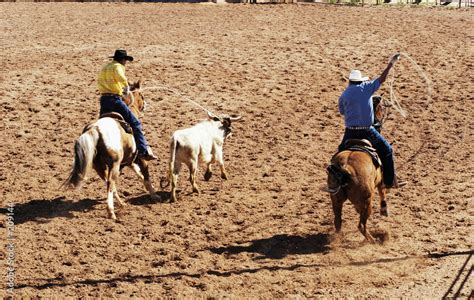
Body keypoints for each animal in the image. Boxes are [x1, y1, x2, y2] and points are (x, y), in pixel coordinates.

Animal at [63, 79, 160, 220]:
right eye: (141, 95)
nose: (145, 104)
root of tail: (95, 129)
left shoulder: (129, 161)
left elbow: (139, 174)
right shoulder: (141, 158)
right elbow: (146, 176)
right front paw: (154, 195)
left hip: (99, 166)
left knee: (109, 184)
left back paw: (120, 203)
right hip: (114, 164)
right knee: (110, 183)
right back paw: (111, 211)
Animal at [326, 95, 388, 243]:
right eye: (381, 108)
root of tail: (345, 168)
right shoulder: (381, 180)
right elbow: (383, 191)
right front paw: (384, 209)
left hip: (336, 199)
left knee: (338, 221)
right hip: (366, 202)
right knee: (361, 225)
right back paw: (373, 241)